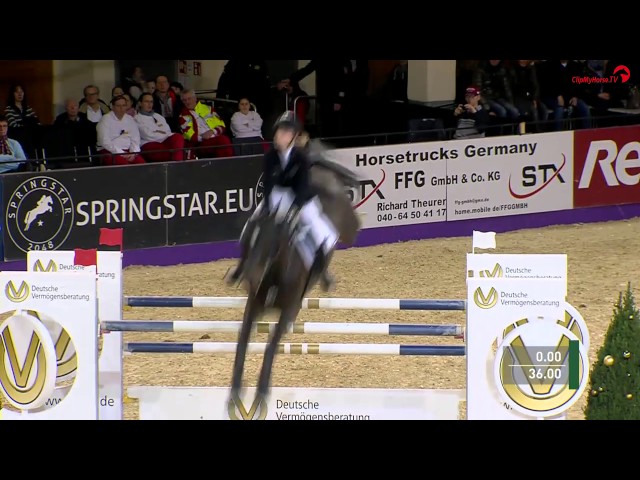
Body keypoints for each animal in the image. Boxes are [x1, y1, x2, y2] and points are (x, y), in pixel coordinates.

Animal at [228, 143, 362, 416]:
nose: (250, 278)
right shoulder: (253, 304)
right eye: (249, 241)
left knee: (345, 233)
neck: (275, 272)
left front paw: (261, 395)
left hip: (347, 226)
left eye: (272, 246)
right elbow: (242, 341)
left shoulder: (290, 310)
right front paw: (235, 392)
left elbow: (270, 345)